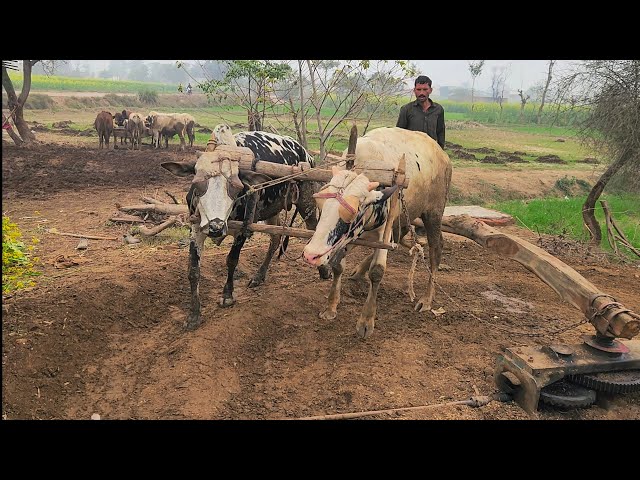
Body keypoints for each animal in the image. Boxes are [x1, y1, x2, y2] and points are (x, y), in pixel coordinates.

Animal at [160, 124, 330, 330]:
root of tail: (305, 153)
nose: (216, 227)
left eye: (236, 187)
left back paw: (324, 270)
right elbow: (193, 269)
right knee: (275, 239)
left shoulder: (242, 231)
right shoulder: (197, 228)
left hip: (307, 203)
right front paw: (193, 314)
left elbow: (231, 260)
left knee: (314, 231)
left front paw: (227, 295)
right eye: (197, 183)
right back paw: (259, 276)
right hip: (271, 211)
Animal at [302, 127, 452, 339]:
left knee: (436, 247)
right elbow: (338, 266)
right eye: (320, 204)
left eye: (352, 212)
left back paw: (426, 299)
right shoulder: (348, 238)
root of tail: (442, 153)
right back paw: (358, 271)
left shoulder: (383, 231)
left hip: (433, 213)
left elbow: (377, 271)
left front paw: (366, 321)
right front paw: (331, 307)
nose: (311, 255)